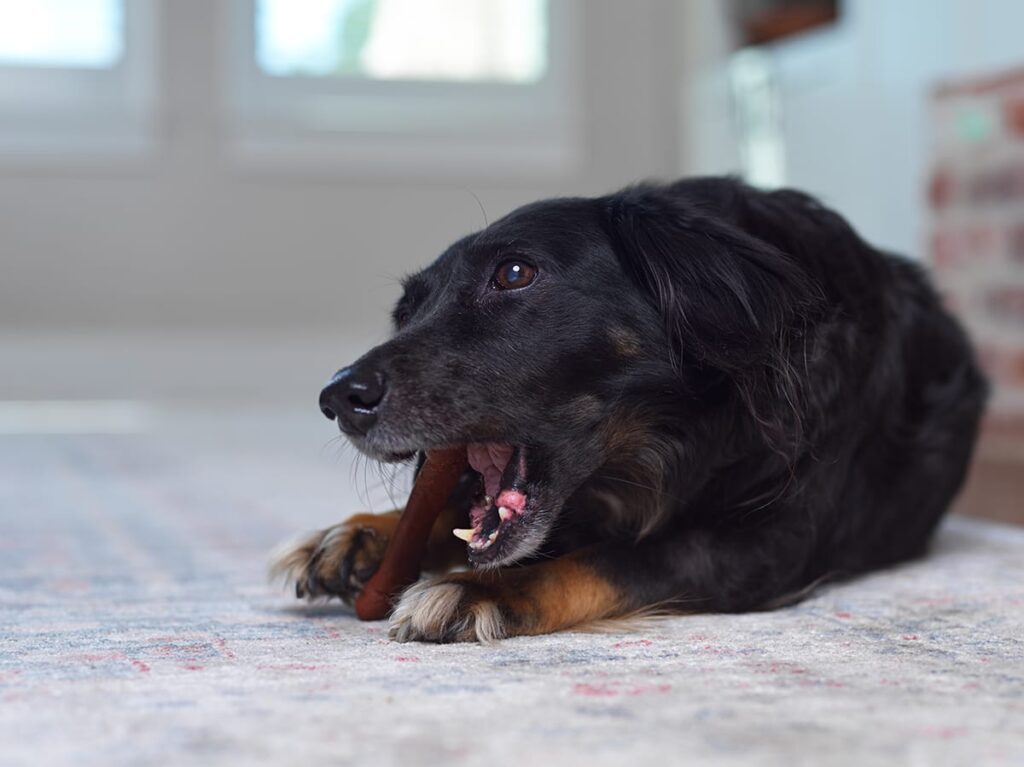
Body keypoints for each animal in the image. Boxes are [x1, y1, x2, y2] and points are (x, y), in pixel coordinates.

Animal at [270, 178, 983, 638]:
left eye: (514, 274)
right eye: (407, 310)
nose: (338, 397)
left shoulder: (770, 542)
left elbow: (612, 559)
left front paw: (482, 589)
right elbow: (452, 509)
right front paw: (363, 533)